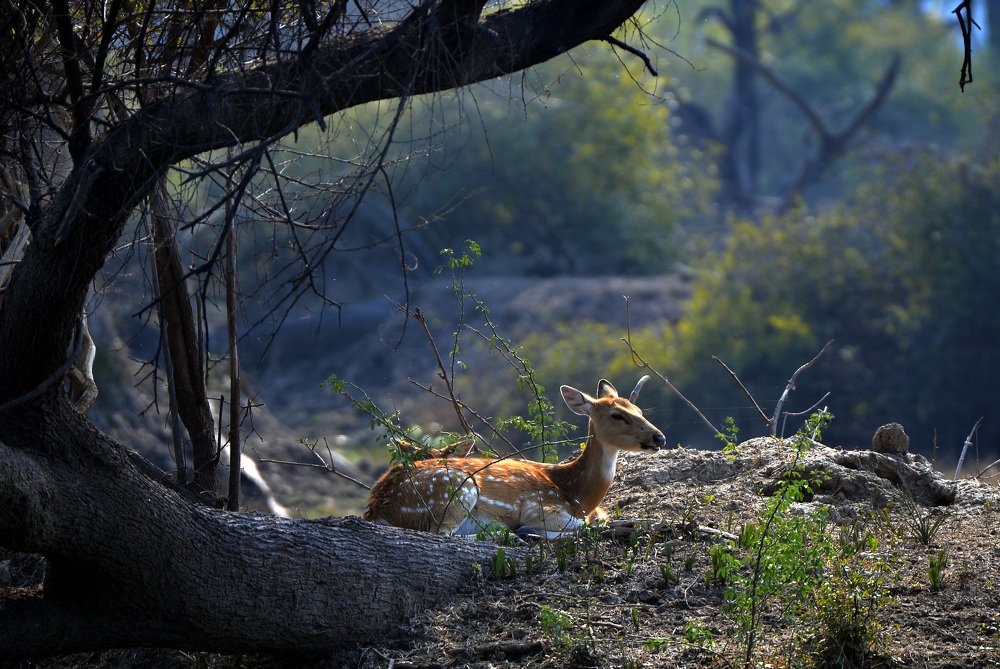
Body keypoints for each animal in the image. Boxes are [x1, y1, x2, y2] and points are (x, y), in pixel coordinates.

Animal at [363, 377, 666, 539]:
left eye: (639, 409)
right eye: (617, 414)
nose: (659, 437)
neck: (575, 494)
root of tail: (378, 509)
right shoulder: (538, 506)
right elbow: (584, 525)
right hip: (455, 489)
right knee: (443, 534)